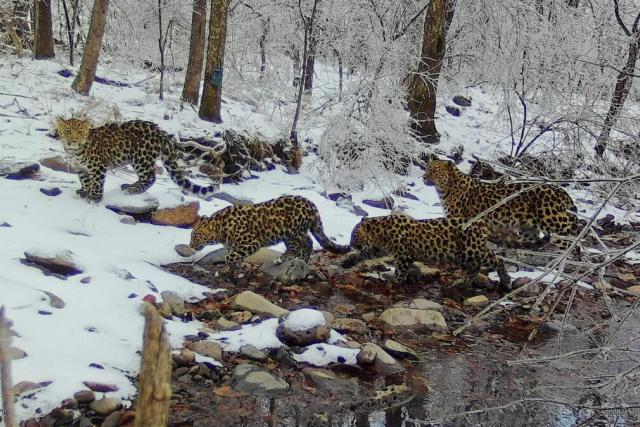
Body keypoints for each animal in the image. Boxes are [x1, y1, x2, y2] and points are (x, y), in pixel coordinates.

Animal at [54, 117, 219, 202]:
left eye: (80, 132)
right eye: (67, 131)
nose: (73, 141)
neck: (74, 152)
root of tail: (160, 131)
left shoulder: (98, 167)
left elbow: (97, 182)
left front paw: (95, 197)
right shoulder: (80, 168)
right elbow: (86, 181)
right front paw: (84, 191)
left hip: (141, 158)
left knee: (150, 177)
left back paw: (133, 189)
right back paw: (129, 185)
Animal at [189, 196, 350, 270]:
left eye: (195, 236)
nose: (190, 245)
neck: (220, 228)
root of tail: (311, 204)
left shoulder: (251, 243)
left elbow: (229, 256)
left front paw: (230, 267)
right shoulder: (235, 246)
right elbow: (233, 255)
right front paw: (235, 268)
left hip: (292, 232)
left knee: (302, 243)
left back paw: (287, 259)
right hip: (291, 234)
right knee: (304, 243)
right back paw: (298, 260)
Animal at [340, 214, 511, 290]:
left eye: (354, 235)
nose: (349, 244)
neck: (381, 232)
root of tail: (481, 222)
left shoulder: (403, 255)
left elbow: (400, 271)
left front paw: (395, 282)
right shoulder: (376, 249)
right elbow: (362, 254)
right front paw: (347, 261)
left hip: (471, 251)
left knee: (497, 259)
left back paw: (506, 280)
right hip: (462, 256)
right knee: (474, 269)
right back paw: (461, 283)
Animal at [423, 157, 579, 249]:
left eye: (435, 170)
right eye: (427, 168)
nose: (424, 177)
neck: (444, 189)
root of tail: (563, 192)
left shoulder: (460, 220)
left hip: (555, 224)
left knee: (572, 244)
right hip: (528, 229)